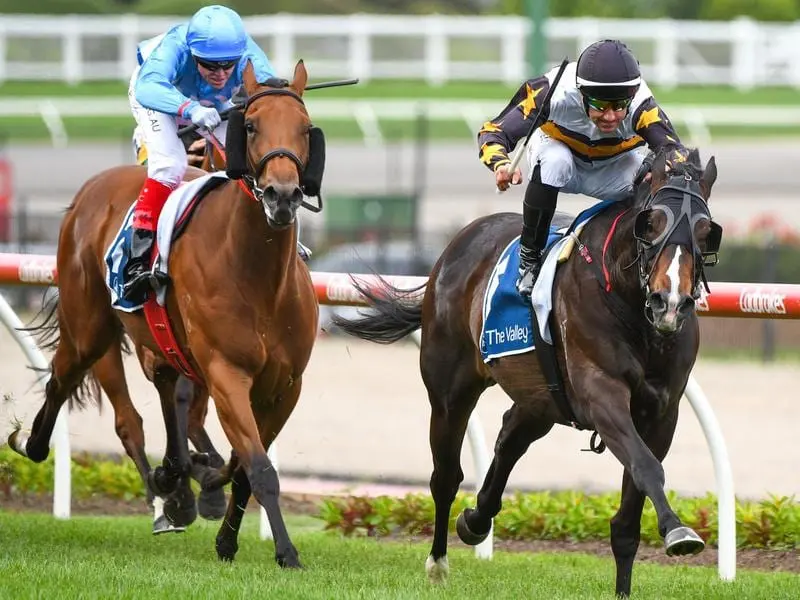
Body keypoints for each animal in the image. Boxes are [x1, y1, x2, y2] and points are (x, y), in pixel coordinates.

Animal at [10, 61, 318, 568]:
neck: (260, 277)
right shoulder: (226, 372)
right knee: (66, 380)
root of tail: (90, 190)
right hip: (90, 328)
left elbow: (243, 466)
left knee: (162, 396)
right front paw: (287, 551)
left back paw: (177, 482)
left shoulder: (285, 386)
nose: (282, 195)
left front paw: (224, 532)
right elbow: (259, 466)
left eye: (306, 129)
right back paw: (33, 443)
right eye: (251, 126)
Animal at [334, 146, 720, 596]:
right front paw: (679, 531)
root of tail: (457, 244)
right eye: (651, 222)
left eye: (706, 230)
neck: (628, 303)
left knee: (510, 436)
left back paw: (476, 519)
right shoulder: (601, 394)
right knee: (446, 476)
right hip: (450, 392)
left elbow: (630, 513)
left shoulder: (661, 410)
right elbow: (646, 466)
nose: (669, 303)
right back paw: (438, 563)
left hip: (542, 398)